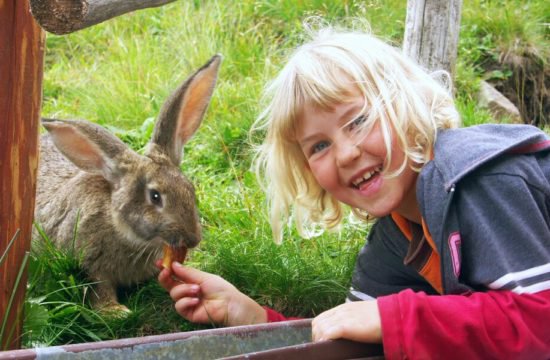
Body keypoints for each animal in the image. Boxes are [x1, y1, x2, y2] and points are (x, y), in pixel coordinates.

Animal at [33, 53, 220, 312]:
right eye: (155, 197)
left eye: (190, 190)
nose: (193, 239)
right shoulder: (89, 265)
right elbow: (98, 288)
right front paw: (115, 312)